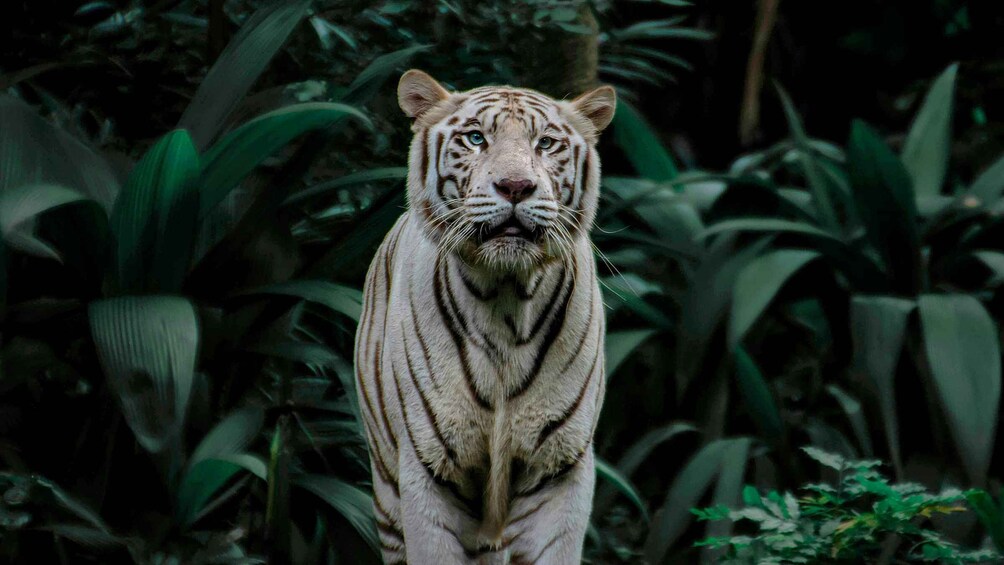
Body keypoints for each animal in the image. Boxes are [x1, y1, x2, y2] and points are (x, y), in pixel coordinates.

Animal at [354, 69, 615, 565]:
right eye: (475, 138)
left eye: (545, 143)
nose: (515, 186)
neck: (506, 301)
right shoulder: (429, 470)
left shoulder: (558, 469)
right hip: (387, 493)